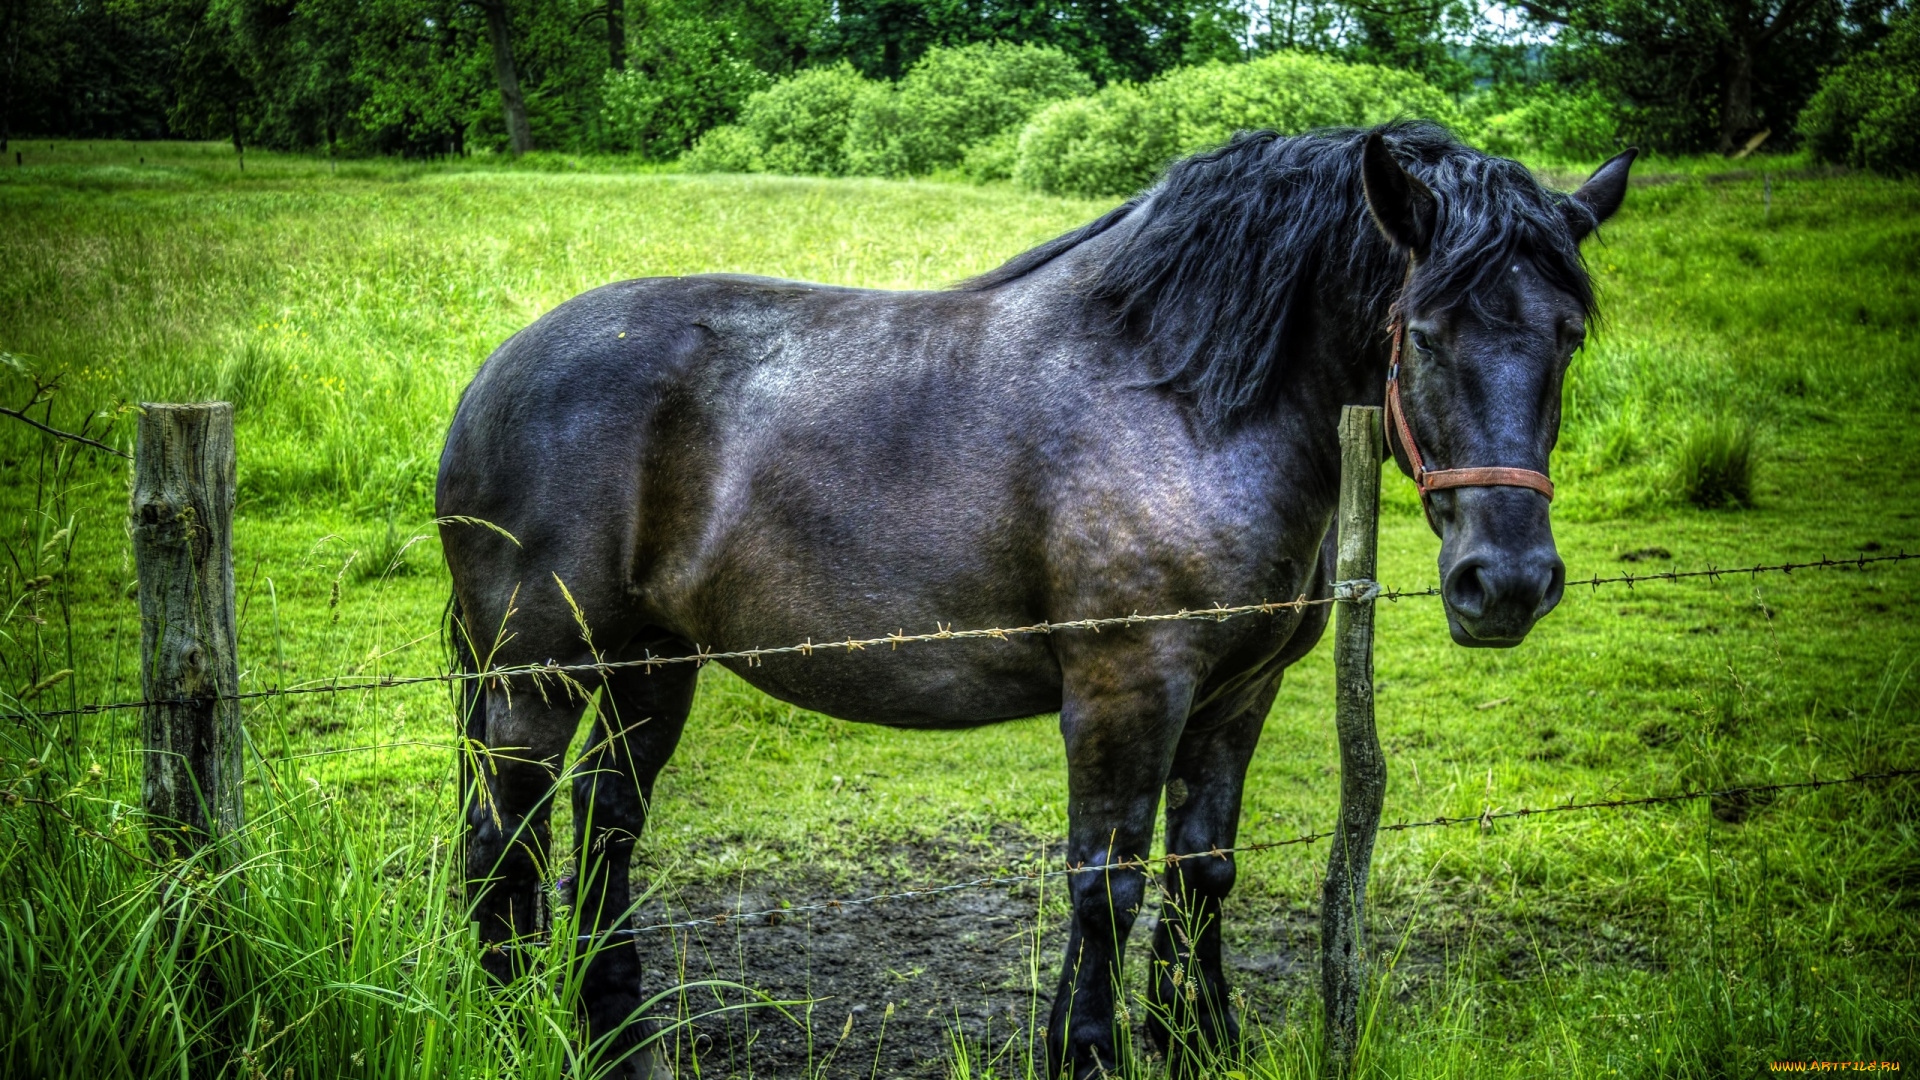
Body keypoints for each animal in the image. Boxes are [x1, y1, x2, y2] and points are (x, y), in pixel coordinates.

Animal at [439, 123, 1635, 1076]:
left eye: (1569, 335)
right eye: (1423, 331)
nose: (1506, 583)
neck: (1185, 404)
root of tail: (494, 373)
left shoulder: (1236, 694)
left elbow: (1203, 869)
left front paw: (1200, 1040)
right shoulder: (1126, 689)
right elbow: (1106, 886)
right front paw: (1089, 1052)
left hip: (650, 665)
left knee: (603, 830)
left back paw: (614, 1034)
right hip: (539, 675)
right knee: (507, 836)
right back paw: (506, 1025)